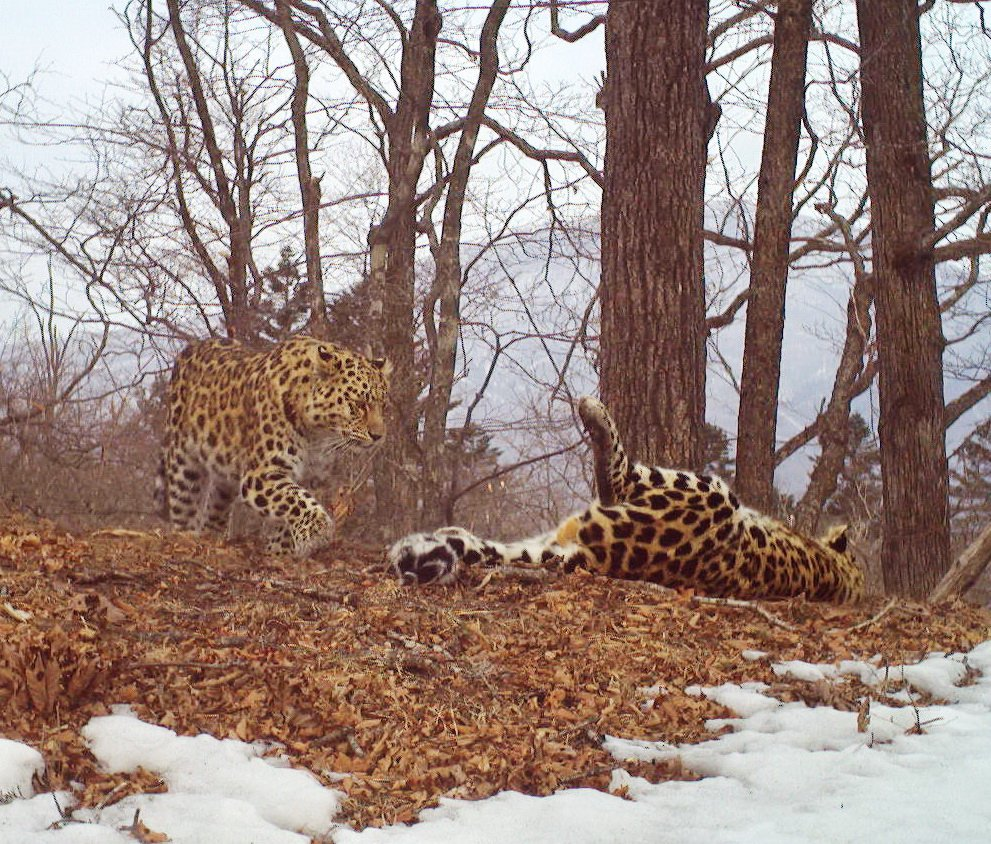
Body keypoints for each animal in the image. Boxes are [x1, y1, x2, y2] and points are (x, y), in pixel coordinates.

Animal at [164, 332, 392, 556]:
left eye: (383, 406)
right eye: (359, 404)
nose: (378, 436)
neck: (318, 435)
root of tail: (191, 346)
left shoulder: (312, 477)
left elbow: (292, 505)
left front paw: (280, 550)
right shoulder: (262, 473)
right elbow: (295, 498)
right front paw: (316, 532)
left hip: (223, 476)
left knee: (215, 510)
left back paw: (212, 538)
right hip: (183, 465)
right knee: (183, 506)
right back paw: (185, 538)